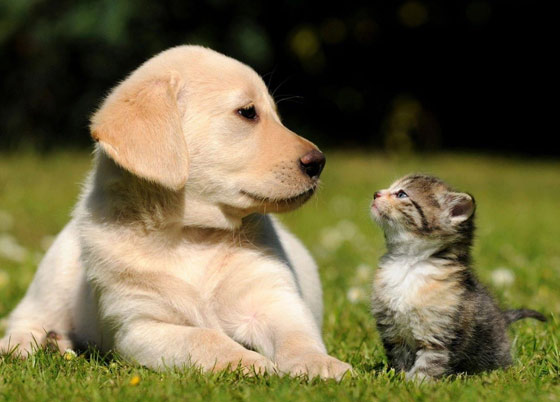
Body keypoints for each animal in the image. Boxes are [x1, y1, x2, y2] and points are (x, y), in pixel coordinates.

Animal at [0, 45, 350, 378]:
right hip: (54, 276)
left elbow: (296, 334)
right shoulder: (141, 326)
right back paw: (27, 345)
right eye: (248, 113)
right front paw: (248, 362)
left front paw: (319, 363)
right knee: (25, 317)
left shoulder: (274, 299)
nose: (319, 162)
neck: (191, 235)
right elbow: (204, 338)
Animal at [370, 174, 544, 380]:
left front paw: (417, 383)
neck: (408, 263)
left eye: (401, 194)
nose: (375, 193)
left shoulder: (439, 334)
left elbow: (429, 363)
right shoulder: (394, 333)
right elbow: (400, 360)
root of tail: (502, 317)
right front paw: (398, 379)